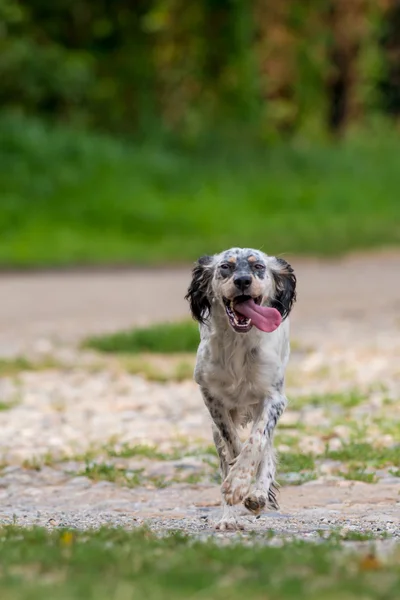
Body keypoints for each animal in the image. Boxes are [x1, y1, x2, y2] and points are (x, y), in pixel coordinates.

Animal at [185, 246, 296, 528]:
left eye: (258, 267)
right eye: (226, 266)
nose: (243, 281)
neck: (239, 343)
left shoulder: (274, 398)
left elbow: (256, 442)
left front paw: (241, 483)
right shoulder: (211, 397)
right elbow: (233, 443)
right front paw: (234, 485)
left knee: (266, 449)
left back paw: (258, 494)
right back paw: (229, 516)